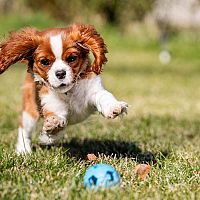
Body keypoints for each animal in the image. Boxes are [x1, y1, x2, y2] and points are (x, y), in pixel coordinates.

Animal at [0, 23, 128, 155]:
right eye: (45, 62)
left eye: (71, 58)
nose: (60, 73)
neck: (69, 92)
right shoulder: (53, 106)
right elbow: (57, 125)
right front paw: (53, 126)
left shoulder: (93, 88)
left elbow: (103, 96)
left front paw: (113, 107)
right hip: (30, 110)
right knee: (24, 128)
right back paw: (23, 150)